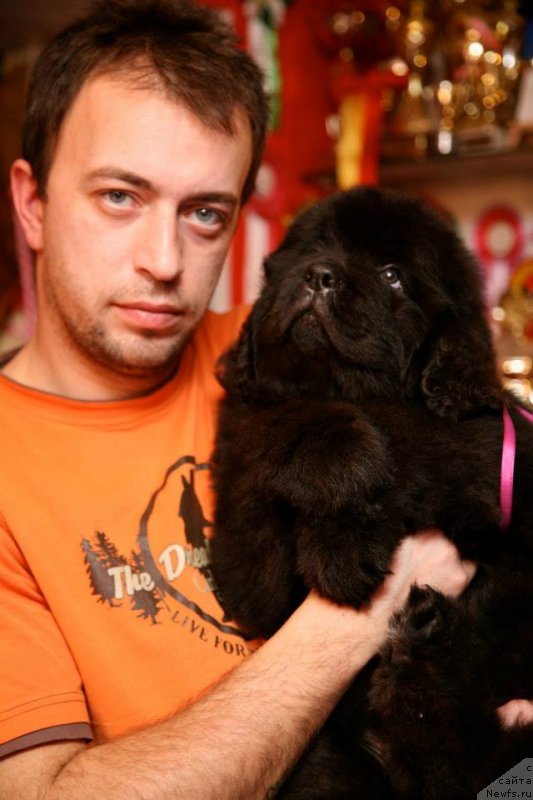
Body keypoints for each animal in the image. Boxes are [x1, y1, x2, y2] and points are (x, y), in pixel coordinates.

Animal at [208, 189, 532, 800]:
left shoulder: (493, 456)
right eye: (310, 249)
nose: (320, 275)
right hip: (330, 766)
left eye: (392, 276)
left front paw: (343, 534)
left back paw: (426, 656)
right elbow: (282, 419)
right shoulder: (242, 545)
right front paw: (344, 473)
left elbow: (413, 434)